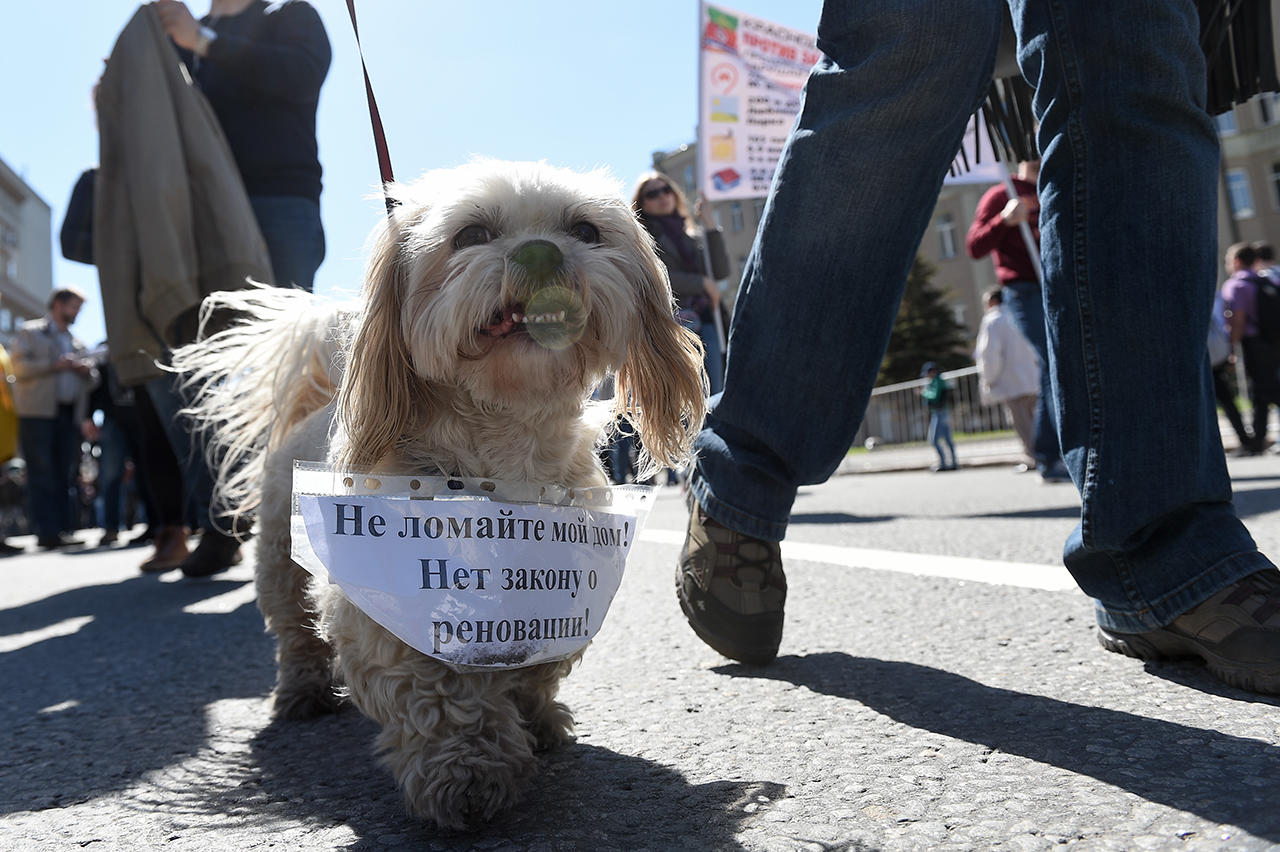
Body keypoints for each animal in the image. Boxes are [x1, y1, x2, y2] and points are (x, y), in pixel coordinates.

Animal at [171, 159, 706, 823]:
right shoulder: (388, 599)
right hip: (278, 557)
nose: (539, 253)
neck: (502, 459)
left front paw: (536, 718)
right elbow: (437, 689)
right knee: (292, 626)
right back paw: (302, 691)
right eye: (471, 235)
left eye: (585, 229)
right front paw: (467, 771)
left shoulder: (560, 578)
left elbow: (535, 663)